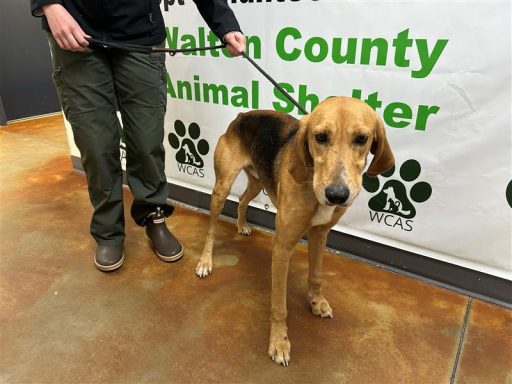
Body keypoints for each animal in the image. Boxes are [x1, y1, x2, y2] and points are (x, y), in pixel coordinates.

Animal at [196, 96, 396, 366]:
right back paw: (205, 262)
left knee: (241, 200)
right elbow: (280, 306)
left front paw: (316, 301)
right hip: (222, 187)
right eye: (320, 137)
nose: (337, 195)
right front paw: (279, 342)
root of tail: (241, 116)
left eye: (362, 138)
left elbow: (316, 275)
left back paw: (241, 225)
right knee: (211, 227)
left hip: (258, 182)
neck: (311, 180)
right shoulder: (282, 246)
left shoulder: (320, 234)